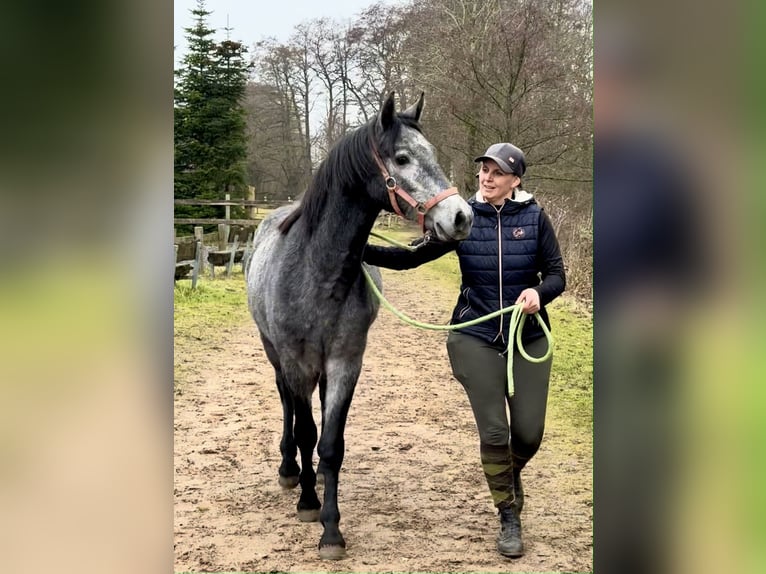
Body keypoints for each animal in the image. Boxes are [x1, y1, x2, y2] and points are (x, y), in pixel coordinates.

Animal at [246, 92, 474, 560]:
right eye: (402, 158)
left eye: (433, 153)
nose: (461, 216)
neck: (316, 271)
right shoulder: (296, 364)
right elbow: (305, 431)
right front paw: (309, 503)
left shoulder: (346, 363)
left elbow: (331, 445)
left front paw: (332, 530)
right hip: (274, 354)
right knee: (286, 406)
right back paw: (289, 470)